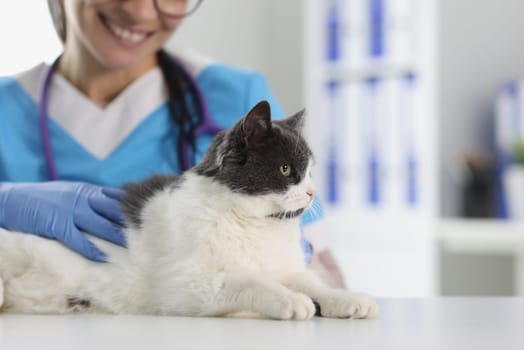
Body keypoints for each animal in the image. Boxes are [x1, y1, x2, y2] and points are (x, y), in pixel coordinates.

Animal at [0, 100, 376, 320]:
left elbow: (314, 282)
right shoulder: (186, 285)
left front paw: (346, 299)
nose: (313, 192)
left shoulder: (287, 268)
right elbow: (248, 279)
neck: (254, 226)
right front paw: (289, 300)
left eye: (310, 170)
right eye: (286, 170)